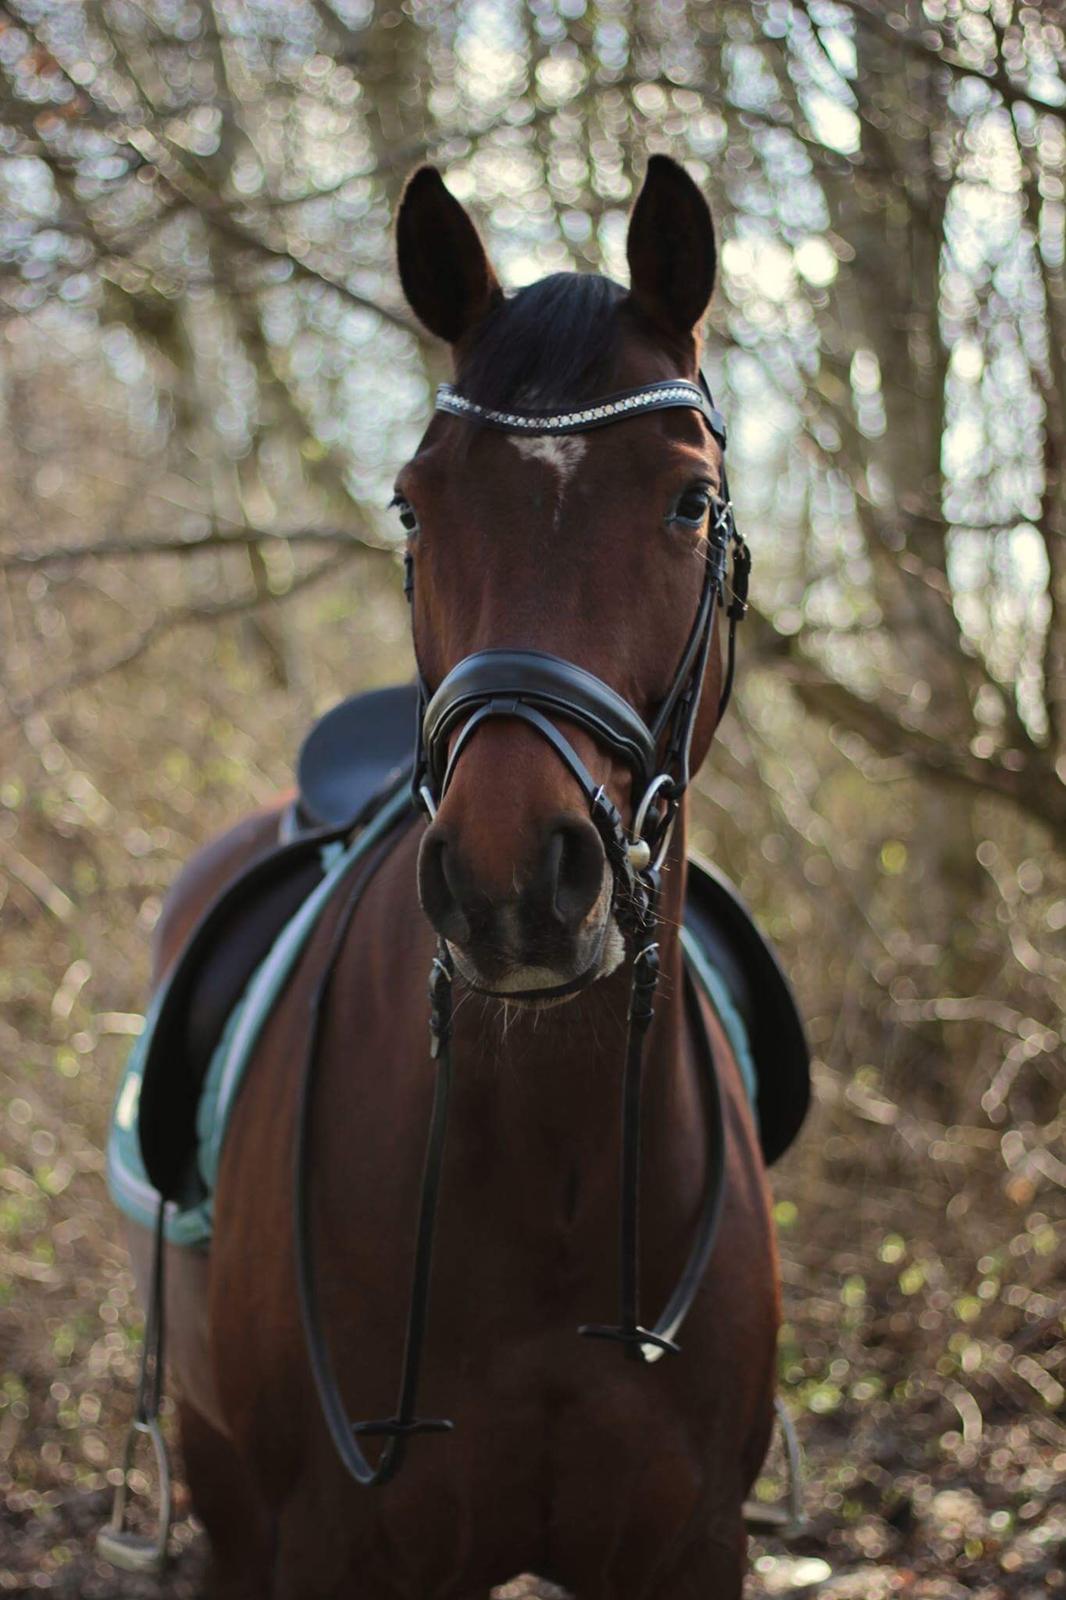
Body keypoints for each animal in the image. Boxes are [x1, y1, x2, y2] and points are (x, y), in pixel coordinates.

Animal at [120, 152, 781, 1600]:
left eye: (688, 501)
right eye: (415, 502)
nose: (509, 884)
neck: (546, 1170)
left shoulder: (691, 1547)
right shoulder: (332, 1546)